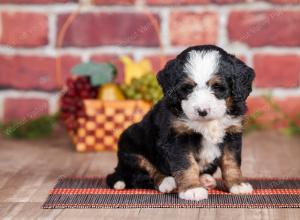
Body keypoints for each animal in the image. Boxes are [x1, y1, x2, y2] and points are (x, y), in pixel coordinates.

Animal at [106, 44, 254, 201]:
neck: (207, 123)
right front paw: (192, 189)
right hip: (131, 148)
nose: (202, 111)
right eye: (188, 88)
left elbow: (231, 162)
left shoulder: (232, 133)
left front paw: (238, 184)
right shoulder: (177, 137)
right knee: (143, 175)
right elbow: (186, 164)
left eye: (218, 87)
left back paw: (205, 179)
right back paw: (167, 182)